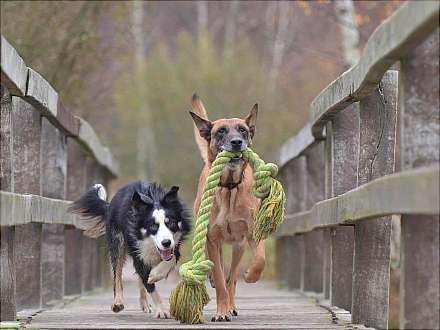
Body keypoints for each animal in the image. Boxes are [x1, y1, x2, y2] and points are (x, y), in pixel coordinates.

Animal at [69, 182, 191, 318]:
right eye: (153, 226)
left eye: (171, 223)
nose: (166, 243)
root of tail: (110, 205)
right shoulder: (137, 250)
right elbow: (149, 285)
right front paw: (161, 310)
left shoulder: (175, 245)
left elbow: (171, 258)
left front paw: (156, 274)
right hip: (117, 242)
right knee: (117, 273)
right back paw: (118, 302)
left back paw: (144, 303)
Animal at [188, 94, 264, 320]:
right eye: (220, 131)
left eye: (243, 130)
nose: (237, 142)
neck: (230, 187)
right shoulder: (212, 238)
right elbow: (221, 280)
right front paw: (221, 312)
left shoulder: (252, 233)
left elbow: (259, 260)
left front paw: (251, 275)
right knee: (221, 272)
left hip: (239, 246)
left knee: (233, 278)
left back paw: (232, 304)